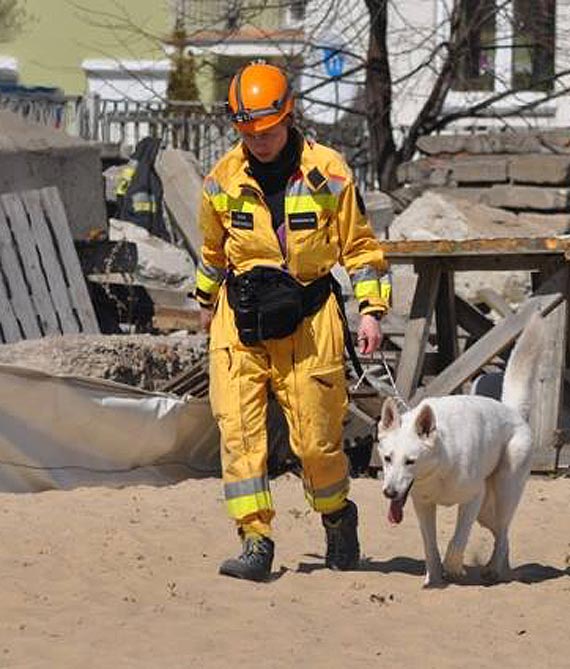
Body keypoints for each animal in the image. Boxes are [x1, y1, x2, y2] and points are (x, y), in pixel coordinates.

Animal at [374, 312, 544, 584]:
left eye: (410, 461)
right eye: (388, 458)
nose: (389, 493)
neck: (441, 464)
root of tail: (512, 411)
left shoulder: (474, 498)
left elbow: (457, 541)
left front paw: (453, 568)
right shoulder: (423, 505)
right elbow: (430, 546)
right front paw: (434, 578)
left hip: (503, 494)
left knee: (503, 531)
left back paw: (493, 569)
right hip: (486, 512)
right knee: (502, 535)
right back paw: (502, 568)